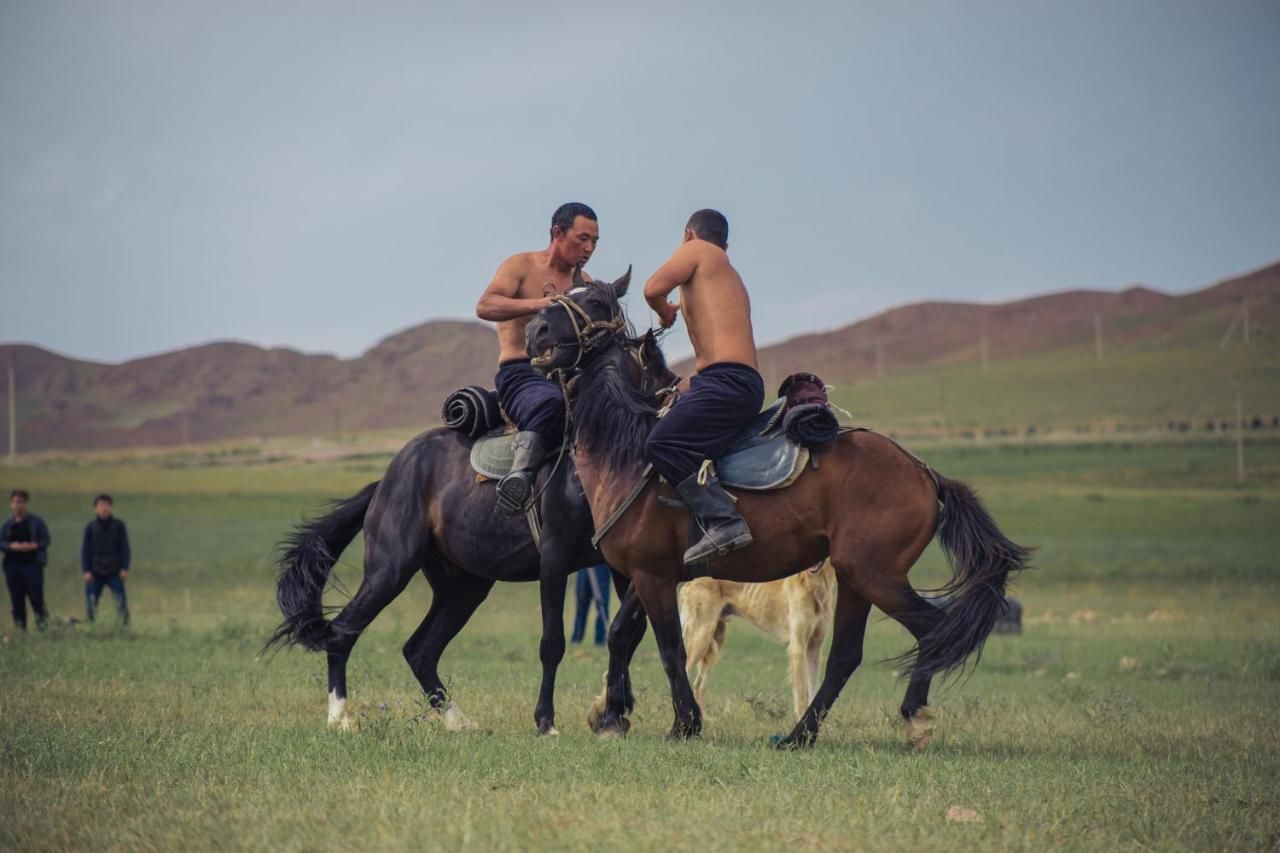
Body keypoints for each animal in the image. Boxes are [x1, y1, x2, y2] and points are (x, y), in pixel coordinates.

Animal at [267, 330, 670, 732]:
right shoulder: (554, 559)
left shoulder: (622, 565)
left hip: (463, 586)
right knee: (343, 633)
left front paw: (612, 714)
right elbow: (553, 642)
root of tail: (385, 480)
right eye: (664, 383)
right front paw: (547, 722)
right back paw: (340, 717)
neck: (592, 466)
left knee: (419, 650)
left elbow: (628, 633)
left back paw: (458, 721)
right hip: (390, 572)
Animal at [519, 270, 1029, 742]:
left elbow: (667, 649)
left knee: (931, 629)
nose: (534, 330)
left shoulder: (651, 574)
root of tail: (925, 473)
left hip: (875, 576)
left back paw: (912, 715)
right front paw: (612, 714)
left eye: (595, 301)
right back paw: (799, 735)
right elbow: (622, 634)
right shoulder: (650, 576)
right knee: (847, 656)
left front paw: (683, 724)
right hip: (857, 579)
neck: (627, 452)